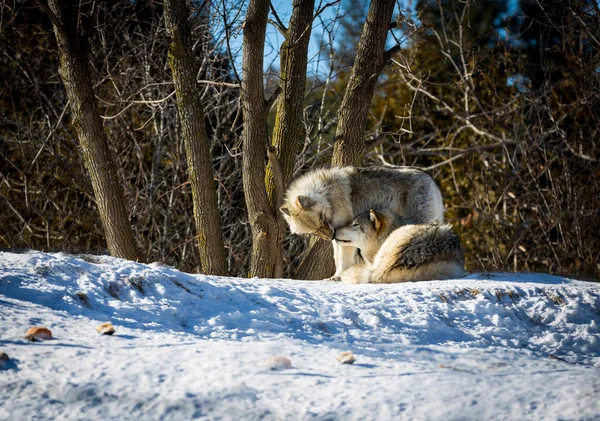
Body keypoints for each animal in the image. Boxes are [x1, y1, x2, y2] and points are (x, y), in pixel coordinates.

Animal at [278, 166, 442, 278]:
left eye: (322, 219)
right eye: (314, 231)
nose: (331, 235)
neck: (327, 193)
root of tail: (431, 181)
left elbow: (343, 259)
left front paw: (338, 277)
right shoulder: (337, 236)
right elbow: (336, 257)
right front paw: (335, 276)